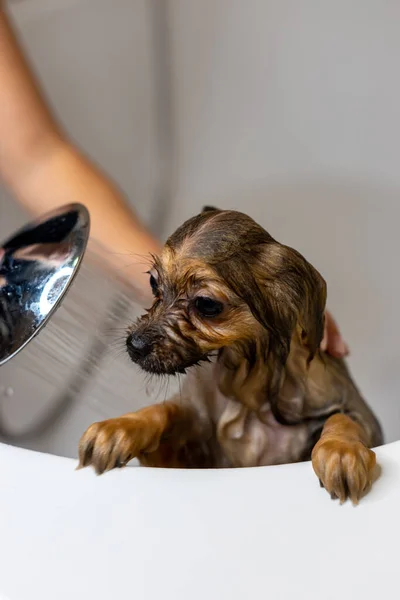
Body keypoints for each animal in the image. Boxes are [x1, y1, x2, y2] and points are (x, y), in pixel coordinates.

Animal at [79, 209, 384, 504]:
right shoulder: (181, 455)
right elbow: (162, 409)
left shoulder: (358, 414)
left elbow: (342, 419)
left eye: (206, 304)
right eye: (153, 282)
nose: (135, 345)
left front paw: (342, 451)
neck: (247, 388)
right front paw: (119, 427)